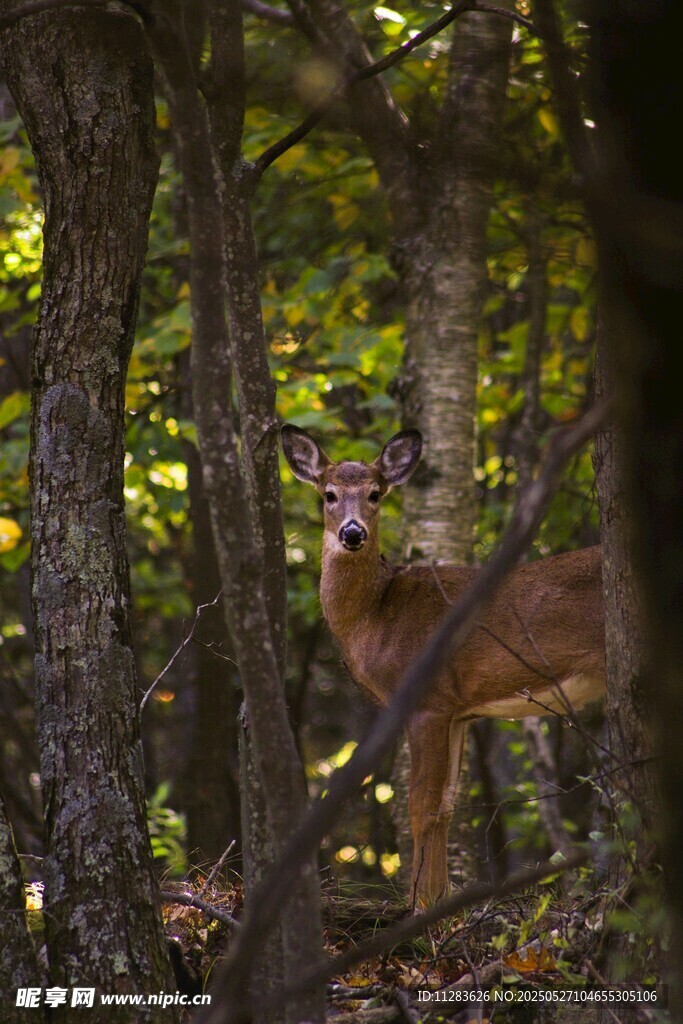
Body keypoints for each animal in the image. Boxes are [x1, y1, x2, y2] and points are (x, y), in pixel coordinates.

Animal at [281, 424, 606, 907]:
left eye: (376, 493)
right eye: (329, 494)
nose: (353, 533)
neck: (375, 617)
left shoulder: (428, 702)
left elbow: (421, 803)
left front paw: (420, 904)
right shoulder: (458, 711)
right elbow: (446, 805)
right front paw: (443, 900)